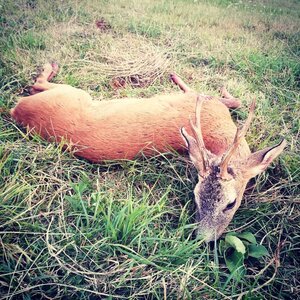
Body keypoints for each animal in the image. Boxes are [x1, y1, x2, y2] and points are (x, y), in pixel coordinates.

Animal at [9, 63, 286, 241]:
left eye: (231, 204)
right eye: (196, 197)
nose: (203, 239)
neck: (220, 131)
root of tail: (17, 111)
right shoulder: (205, 100)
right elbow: (224, 97)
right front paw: (180, 78)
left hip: (72, 94)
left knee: (35, 85)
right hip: (73, 92)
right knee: (37, 83)